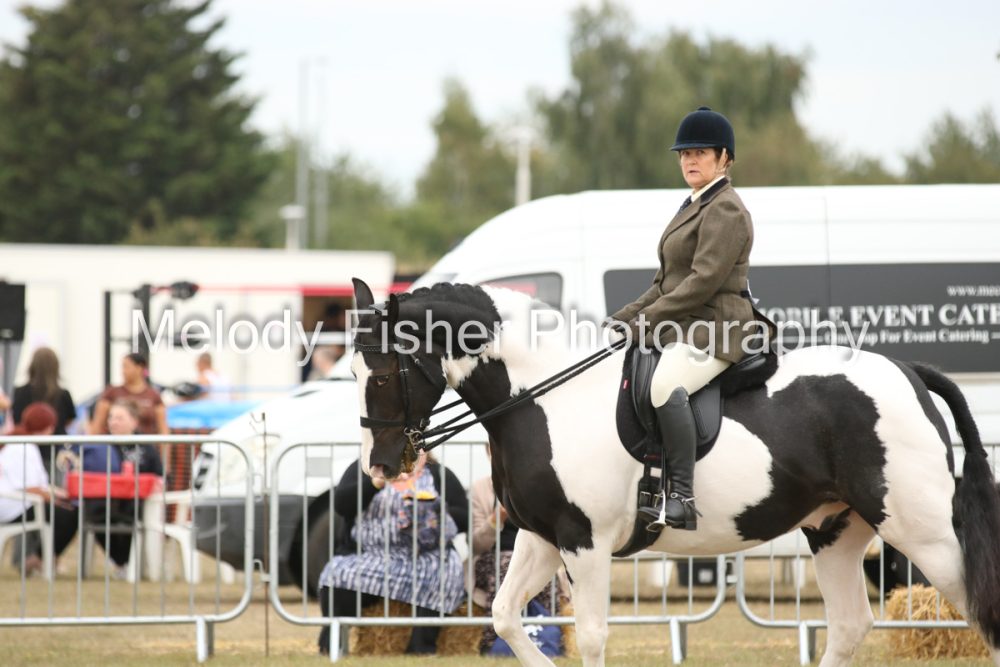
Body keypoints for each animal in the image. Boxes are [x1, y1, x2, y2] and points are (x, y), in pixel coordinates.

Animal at [348, 278, 1000, 667]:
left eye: (379, 374)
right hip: (836, 530)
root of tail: (909, 371)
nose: (380, 466)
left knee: (975, 610)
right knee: (849, 625)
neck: (544, 397)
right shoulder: (541, 536)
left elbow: (590, 635)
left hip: (925, 534)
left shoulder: (584, 543)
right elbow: (507, 617)